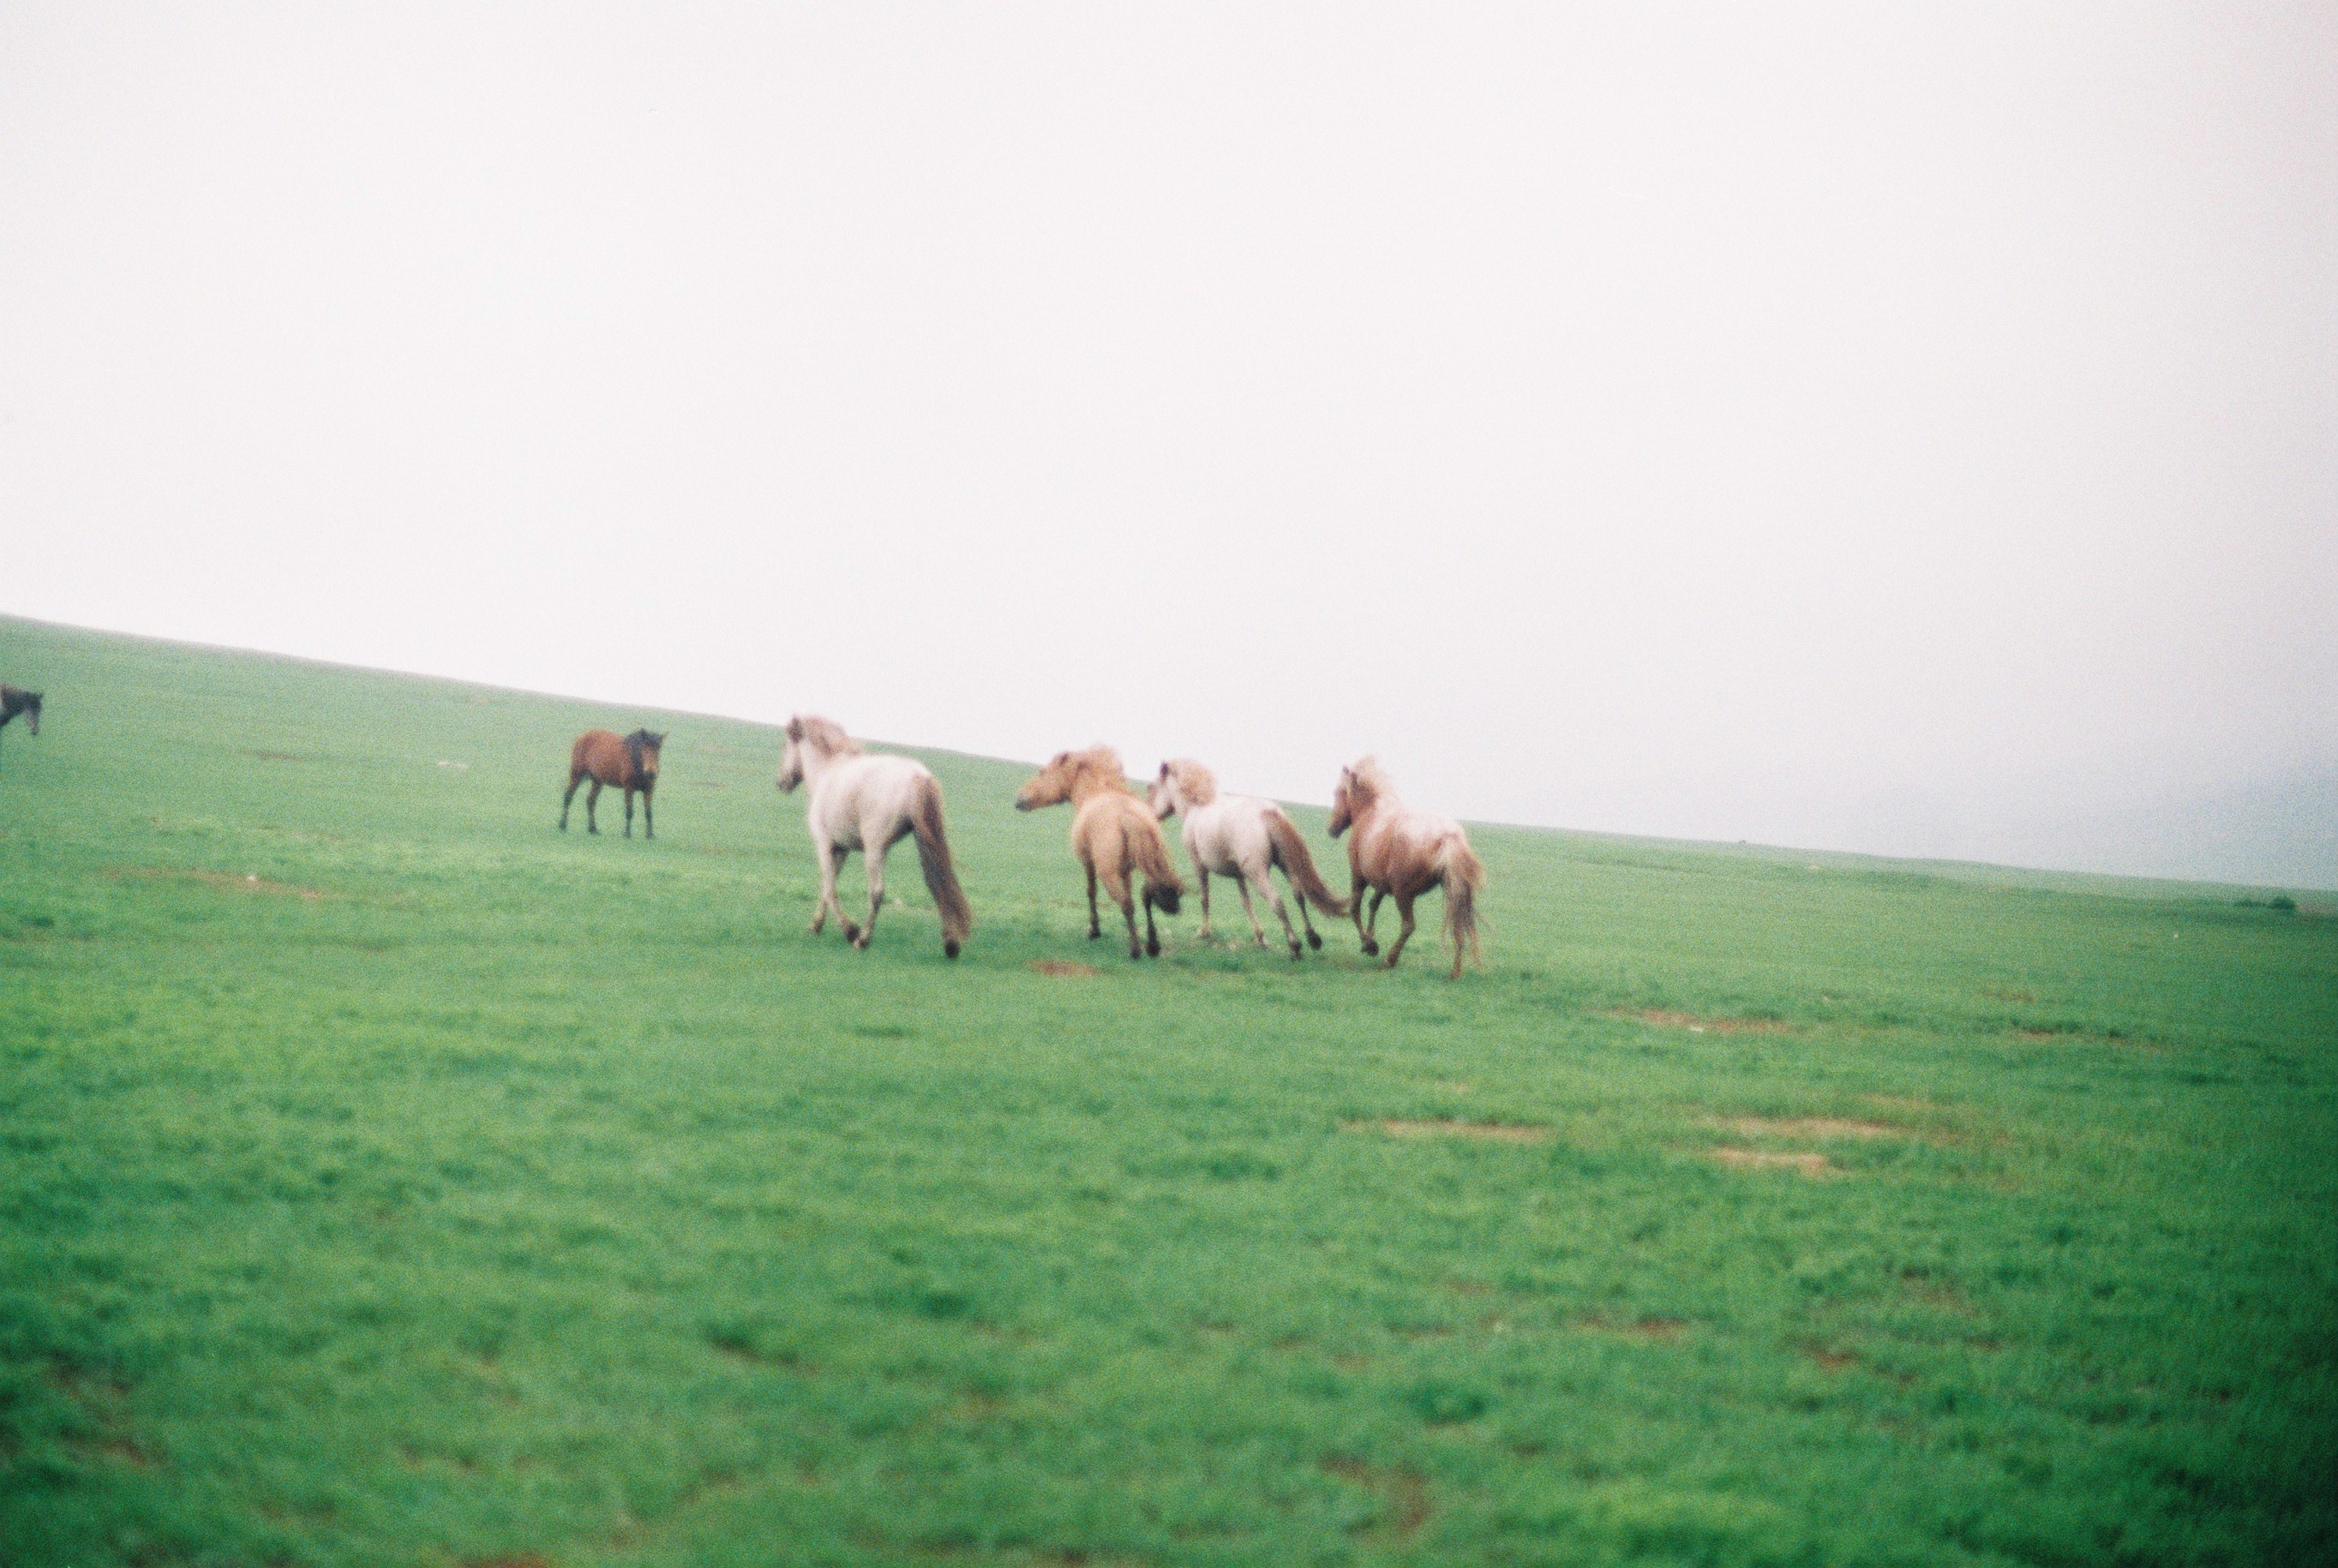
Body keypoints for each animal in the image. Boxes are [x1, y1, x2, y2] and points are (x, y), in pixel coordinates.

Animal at [559, 728, 664, 838]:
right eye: (644, 748)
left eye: (658, 749)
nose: (651, 772)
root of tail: (582, 736)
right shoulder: (628, 789)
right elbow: (629, 811)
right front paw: (627, 834)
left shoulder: (649, 790)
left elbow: (648, 813)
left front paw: (650, 835)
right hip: (576, 775)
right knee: (568, 796)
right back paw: (562, 825)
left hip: (597, 781)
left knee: (590, 801)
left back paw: (593, 829)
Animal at [776, 715, 972, 958]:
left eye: (786, 745)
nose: (780, 782)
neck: (828, 771)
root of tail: (918, 776)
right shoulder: (842, 849)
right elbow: (827, 885)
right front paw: (816, 925)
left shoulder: (824, 844)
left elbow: (830, 887)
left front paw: (849, 930)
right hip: (924, 842)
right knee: (938, 882)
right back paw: (951, 942)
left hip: (875, 850)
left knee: (877, 892)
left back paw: (862, 939)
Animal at [1016, 747, 1185, 960]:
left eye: (1042, 772)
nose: (1019, 799)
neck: (1095, 792)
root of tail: (1126, 814)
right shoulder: (1126, 871)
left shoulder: (1088, 863)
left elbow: (1091, 892)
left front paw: (1094, 930)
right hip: (1149, 866)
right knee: (1146, 896)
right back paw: (1153, 946)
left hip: (1108, 873)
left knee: (1127, 903)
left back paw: (1135, 950)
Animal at [1148, 759, 1348, 959]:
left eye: (1152, 786)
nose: (1151, 816)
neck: (1196, 807)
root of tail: (1266, 812)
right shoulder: (1239, 874)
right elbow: (1246, 902)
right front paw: (1260, 938)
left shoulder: (1199, 865)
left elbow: (1205, 898)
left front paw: (1204, 932)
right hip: (1285, 865)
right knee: (1298, 895)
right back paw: (1313, 938)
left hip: (1257, 873)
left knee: (1277, 901)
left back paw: (1295, 945)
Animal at [1327, 757, 1485, 978]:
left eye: (1337, 792)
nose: (1331, 829)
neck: (1370, 812)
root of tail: (1448, 835)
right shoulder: (1382, 884)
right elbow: (1373, 905)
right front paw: (1371, 940)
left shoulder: (1359, 876)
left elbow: (1355, 909)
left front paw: (1368, 945)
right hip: (1451, 891)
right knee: (1458, 927)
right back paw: (1455, 972)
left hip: (1404, 894)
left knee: (1408, 926)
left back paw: (1390, 960)